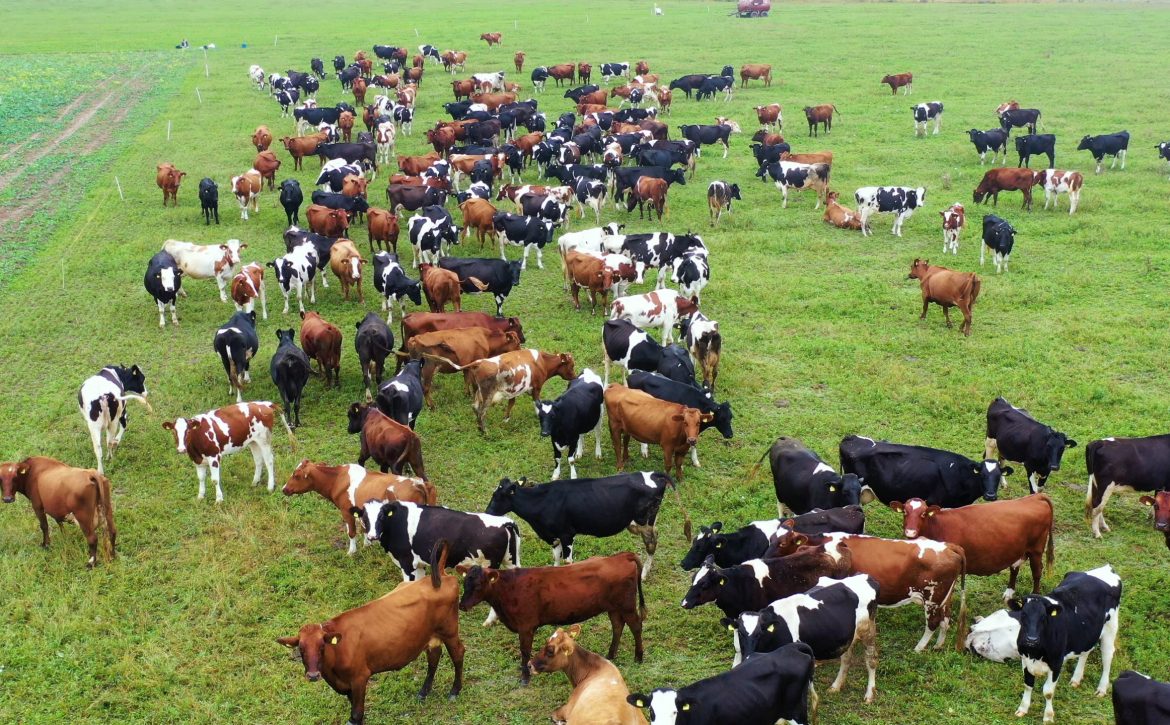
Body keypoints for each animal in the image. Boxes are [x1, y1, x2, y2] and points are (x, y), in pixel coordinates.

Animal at [162, 401, 293, 502]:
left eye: (188, 431)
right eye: (174, 432)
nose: (181, 449)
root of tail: (265, 404)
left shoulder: (214, 456)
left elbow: (215, 480)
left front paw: (219, 499)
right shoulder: (197, 461)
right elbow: (201, 478)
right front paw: (200, 496)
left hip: (264, 439)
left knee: (269, 461)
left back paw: (270, 487)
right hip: (253, 441)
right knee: (258, 461)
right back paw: (255, 482)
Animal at [276, 542, 464, 724]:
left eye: (322, 646)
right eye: (300, 649)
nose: (313, 675)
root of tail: (441, 576)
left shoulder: (360, 678)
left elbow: (356, 715)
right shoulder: (347, 686)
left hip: (450, 631)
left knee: (458, 654)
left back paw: (455, 691)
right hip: (431, 636)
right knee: (434, 657)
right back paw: (424, 691)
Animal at [459, 555, 643, 684]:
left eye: (478, 585)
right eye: (464, 583)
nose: (462, 605)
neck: (509, 587)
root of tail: (621, 556)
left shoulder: (526, 627)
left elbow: (525, 651)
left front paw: (525, 677)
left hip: (627, 606)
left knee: (636, 626)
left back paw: (639, 657)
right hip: (613, 608)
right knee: (617, 626)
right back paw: (610, 655)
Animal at [724, 575, 880, 703]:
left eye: (760, 633)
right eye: (740, 633)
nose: (748, 654)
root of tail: (867, 577)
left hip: (868, 630)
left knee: (871, 660)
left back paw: (869, 694)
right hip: (848, 637)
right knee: (846, 658)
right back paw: (836, 686)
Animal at [1009, 566, 1121, 724]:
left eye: (1043, 617)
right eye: (1023, 614)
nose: (1031, 639)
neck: (1036, 653)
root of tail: (1106, 568)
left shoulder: (1056, 662)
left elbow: (1048, 692)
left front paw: (1048, 717)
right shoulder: (1025, 659)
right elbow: (1028, 685)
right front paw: (1023, 709)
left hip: (1111, 627)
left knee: (1107, 656)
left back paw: (1102, 688)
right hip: (1087, 633)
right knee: (1086, 651)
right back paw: (1076, 679)